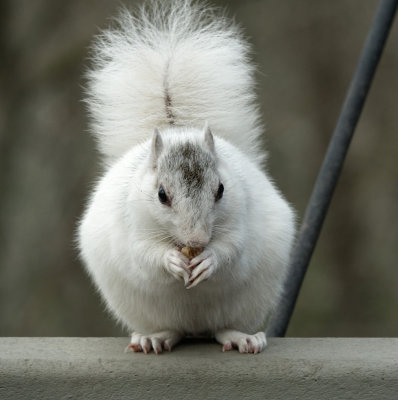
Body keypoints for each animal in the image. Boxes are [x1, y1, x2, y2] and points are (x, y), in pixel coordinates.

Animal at [77, 0, 296, 354]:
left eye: (221, 189)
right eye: (161, 195)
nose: (196, 242)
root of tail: (195, 328)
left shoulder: (240, 216)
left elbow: (234, 248)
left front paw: (210, 259)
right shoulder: (133, 223)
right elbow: (143, 255)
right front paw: (171, 261)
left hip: (246, 304)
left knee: (222, 328)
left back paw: (242, 337)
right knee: (172, 330)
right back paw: (155, 337)